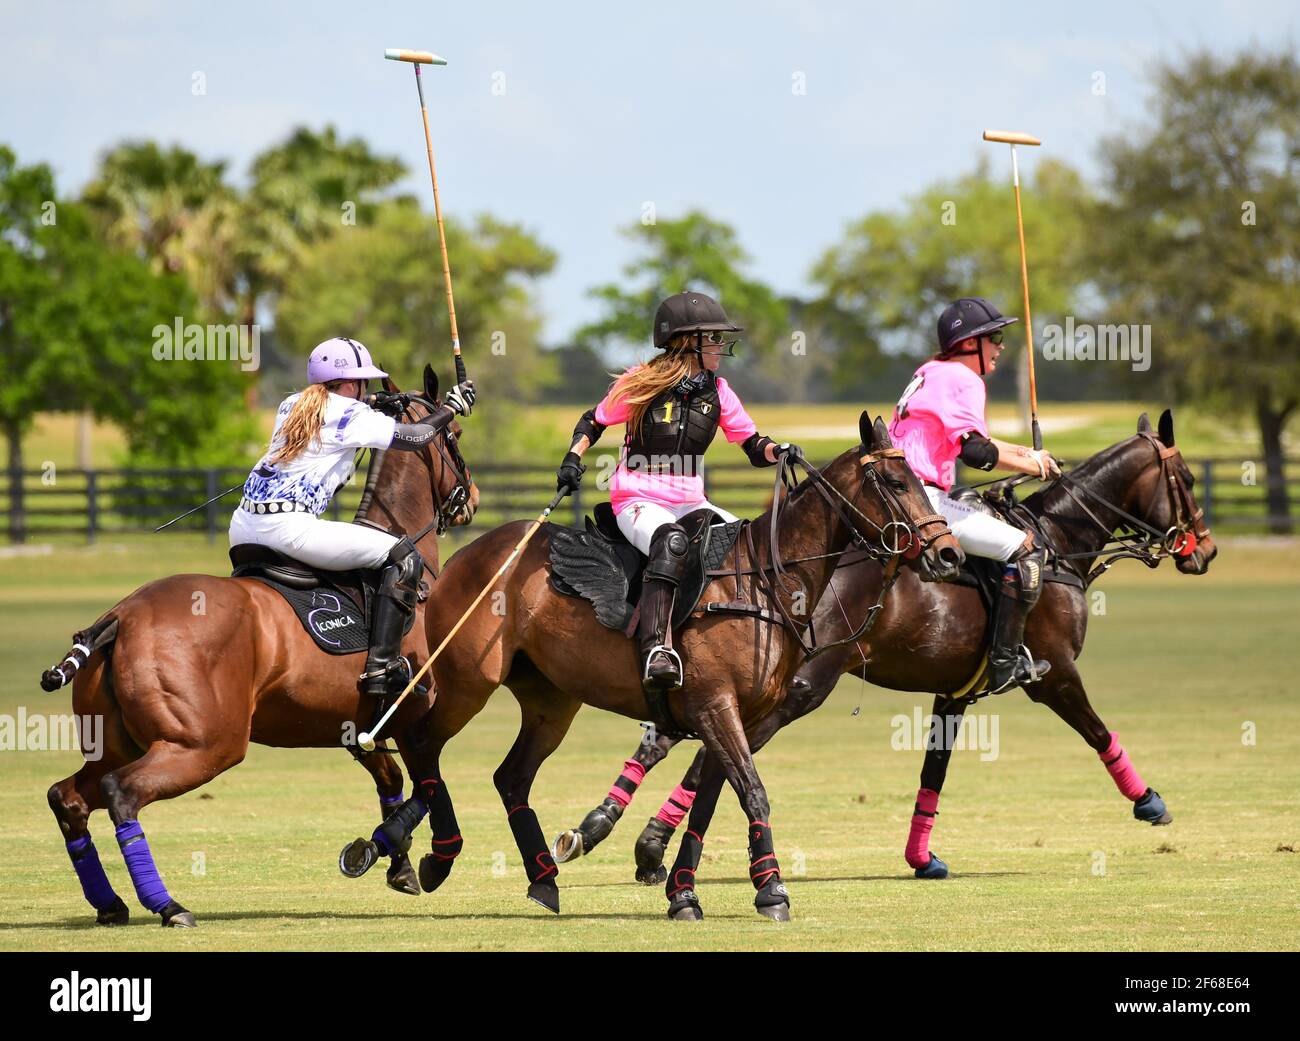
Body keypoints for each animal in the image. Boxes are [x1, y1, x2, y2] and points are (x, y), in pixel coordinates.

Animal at [39, 366, 478, 925]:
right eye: (455, 436)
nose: (473, 499)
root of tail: (119, 616)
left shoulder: (359, 726)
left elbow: (392, 779)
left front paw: (395, 863)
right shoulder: (414, 719)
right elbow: (426, 788)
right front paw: (410, 856)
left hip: (120, 741)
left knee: (67, 797)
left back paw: (111, 903)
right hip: (206, 743)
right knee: (122, 793)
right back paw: (168, 905)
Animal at [366, 413, 967, 920]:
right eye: (893, 482)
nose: (949, 555)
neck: (765, 583)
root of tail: (464, 555)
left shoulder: (740, 715)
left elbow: (708, 797)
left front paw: (684, 892)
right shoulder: (714, 705)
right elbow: (749, 790)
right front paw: (772, 889)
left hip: (551, 699)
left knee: (509, 775)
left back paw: (542, 880)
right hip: (467, 680)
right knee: (419, 742)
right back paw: (437, 857)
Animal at [553, 405, 1211, 883]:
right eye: (1187, 478)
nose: (1203, 550)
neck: (1056, 543)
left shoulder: (955, 692)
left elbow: (933, 772)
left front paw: (923, 857)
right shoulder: (1056, 674)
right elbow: (1097, 730)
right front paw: (1150, 801)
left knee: (673, 732)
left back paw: (610, 832)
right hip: (803, 685)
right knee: (704, 745)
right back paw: (644, 841)